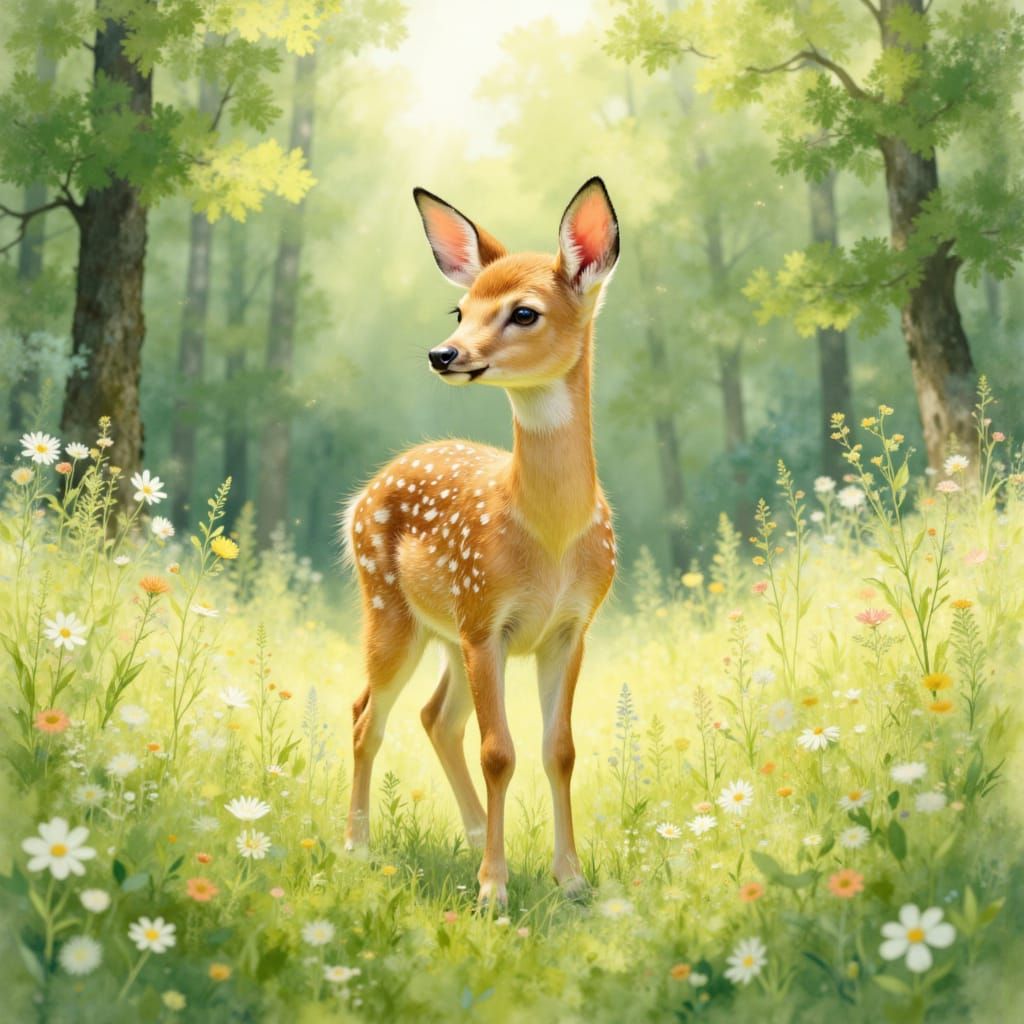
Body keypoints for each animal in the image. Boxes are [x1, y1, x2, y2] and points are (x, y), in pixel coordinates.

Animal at [342, 178, 620, 905]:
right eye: (460, 307)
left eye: (524, 313)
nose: (444, 353)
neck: (549, 539)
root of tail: (365, 490)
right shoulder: (486, 619)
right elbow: (501, 751)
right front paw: (495, 889)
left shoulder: (570, 627)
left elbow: (559, 750)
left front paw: (570, 879)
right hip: (393, 609)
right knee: (366, 713)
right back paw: (357, 845)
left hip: (447, 635)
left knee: (436, 717)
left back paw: (470, 838)